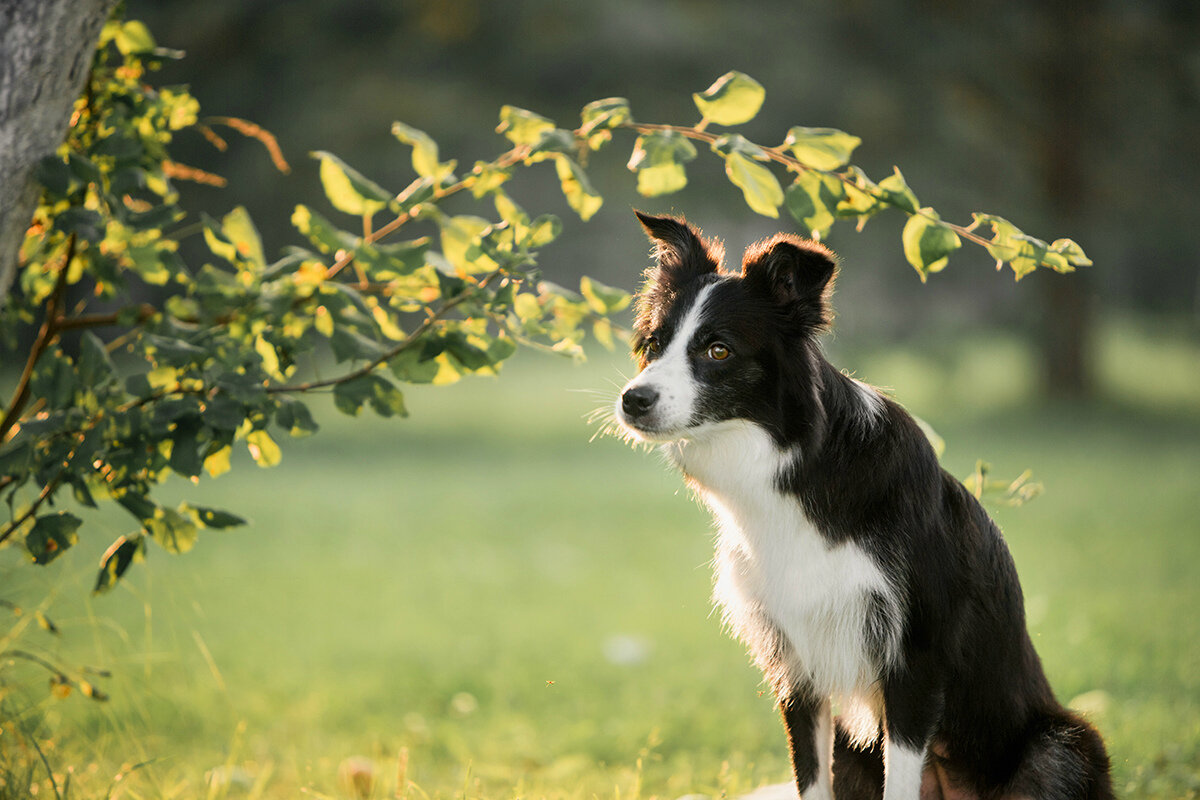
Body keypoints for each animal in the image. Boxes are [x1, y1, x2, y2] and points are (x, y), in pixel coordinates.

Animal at [614, 212, 1108, 800]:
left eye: (718, 350)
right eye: (654, 343)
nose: (632, 401)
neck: (798, 472)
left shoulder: (915, 659)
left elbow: (901, 779)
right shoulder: (796, 664)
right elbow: (810, 778)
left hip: (1062, 745)